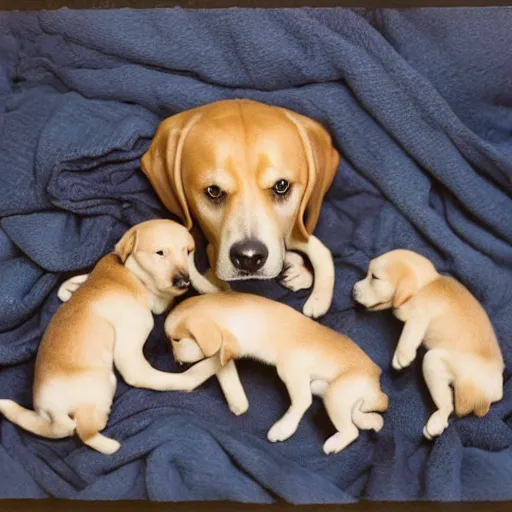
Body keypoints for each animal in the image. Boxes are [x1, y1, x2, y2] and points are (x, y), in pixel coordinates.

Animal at [0, 220, 222, 456]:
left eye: (188, 251)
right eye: (160, 252)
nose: (183, 281)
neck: (133, 274)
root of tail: (54, 412)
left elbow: (69, 286)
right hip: (106, 385)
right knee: (84, 431)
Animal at [166, 292, 386, 456]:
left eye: (176, 340)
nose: (176, 362)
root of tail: (376, 381)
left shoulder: (292, 370)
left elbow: (302, 402)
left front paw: (283, 428)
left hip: (336, 395)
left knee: (352, 430)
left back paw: (334, 444)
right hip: (341, 397)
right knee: (363, 417)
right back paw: (371, 422)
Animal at [352, 249, 504, 440]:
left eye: (374, 277)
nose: (353, 290)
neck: (424, 285)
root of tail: (492, 393)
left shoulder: (420, 316)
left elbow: (410, 331)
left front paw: (402, 355)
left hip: (433, 361)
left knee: (448, 407)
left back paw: (436, 422)